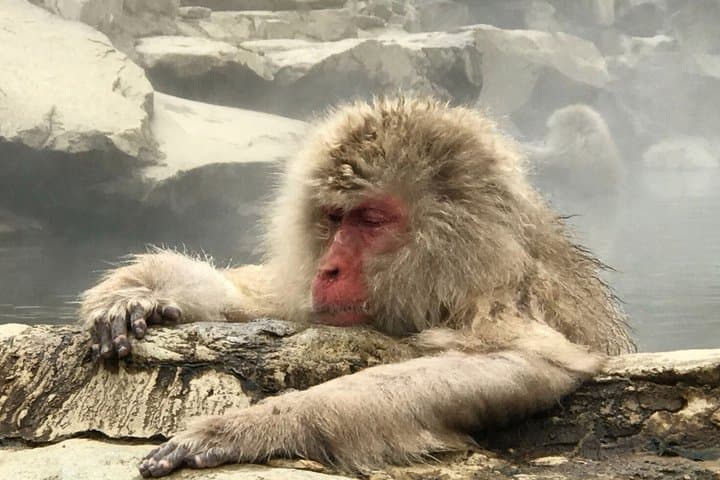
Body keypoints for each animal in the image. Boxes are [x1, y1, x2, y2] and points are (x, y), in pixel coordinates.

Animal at [79, 97, 634, 478]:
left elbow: (528, 362)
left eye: (369, 220)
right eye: (333, 217)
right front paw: (144, 291)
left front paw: (256, 425)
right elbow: (266, 299)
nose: (328, 269)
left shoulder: (499, 300)